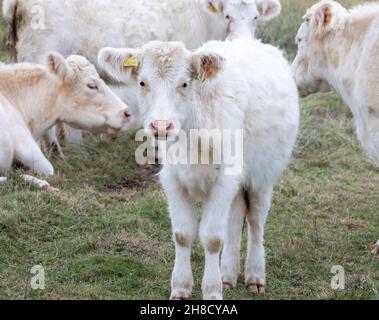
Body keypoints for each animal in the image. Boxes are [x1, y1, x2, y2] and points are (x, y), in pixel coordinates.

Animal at [99, 38, 302, 300]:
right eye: (142, 82)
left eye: (184, 83)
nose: (161, 125)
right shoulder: (173, 180)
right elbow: (183, 234)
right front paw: (181, 287)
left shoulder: (225, 179)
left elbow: (213, 238)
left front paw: (212, 291)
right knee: (236, 216)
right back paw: (228, 273)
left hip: (263, 173)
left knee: (256, 220)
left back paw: (255, 275)